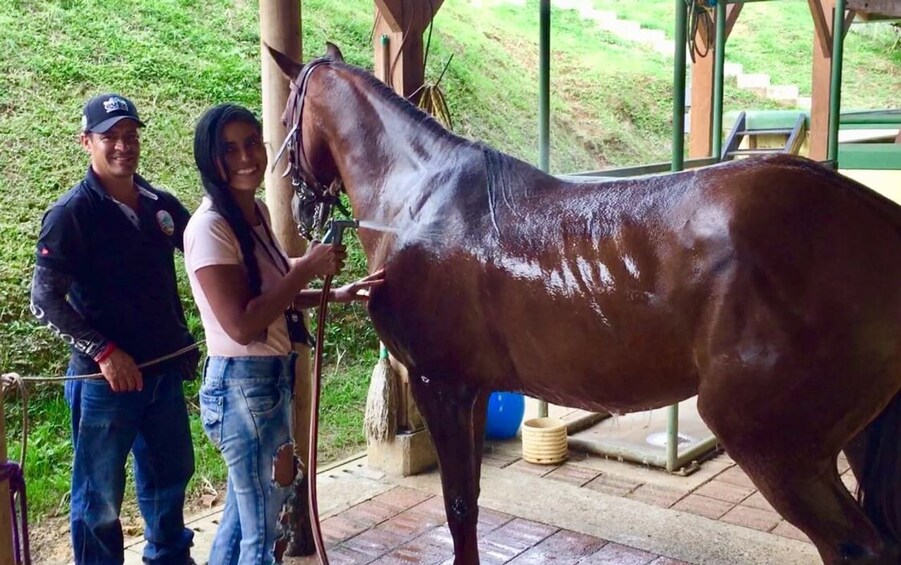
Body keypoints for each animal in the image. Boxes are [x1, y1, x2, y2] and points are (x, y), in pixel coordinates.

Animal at [268, 45, 900, 564]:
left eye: (287, 118)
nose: (300, 209)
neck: (419, 202)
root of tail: (876, 217)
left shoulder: (437, 383)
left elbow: (458, 508)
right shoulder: (472, 388)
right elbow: (470, 500)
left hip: (774, 443)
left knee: (855, 547)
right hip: (857, 433)